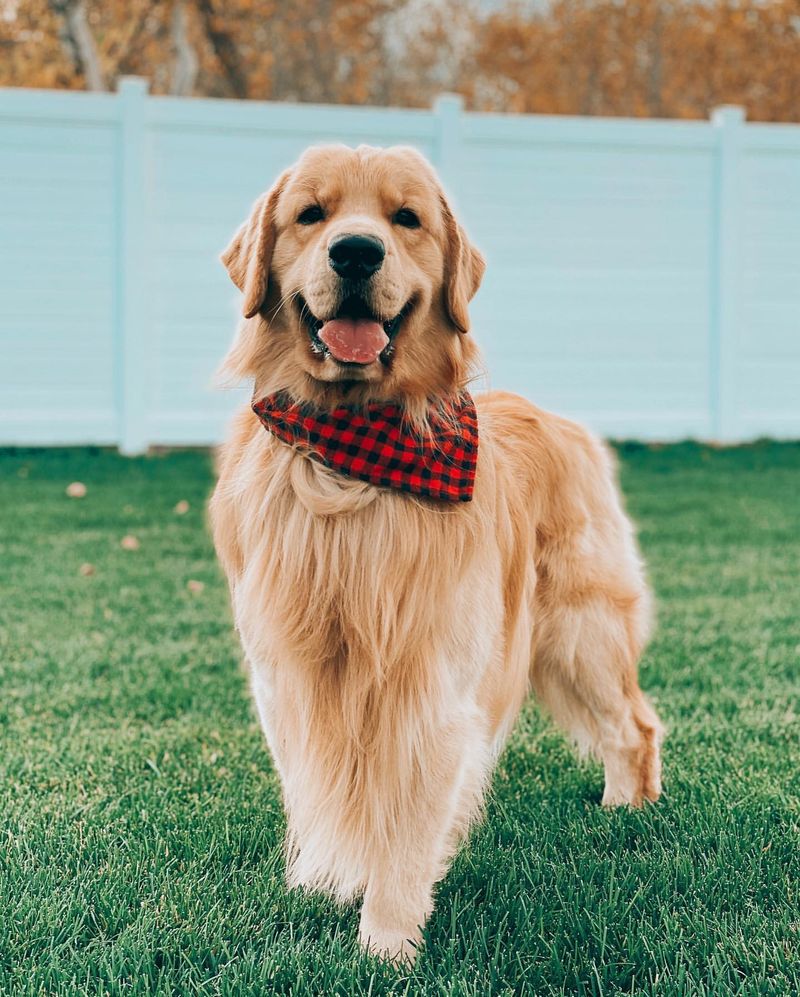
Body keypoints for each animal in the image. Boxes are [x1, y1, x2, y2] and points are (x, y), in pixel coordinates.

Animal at [211, 144, 664, 960]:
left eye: (406, 218)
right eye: (311, 214)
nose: (357, 252)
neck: (351, 466)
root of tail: (567, 421)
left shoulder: (431, 688)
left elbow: (401, 824)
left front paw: (386, 940)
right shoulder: (286, 677)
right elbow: (317, 789)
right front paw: (324, 884)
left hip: (579, 629)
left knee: (636, 724)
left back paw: (628, 809)